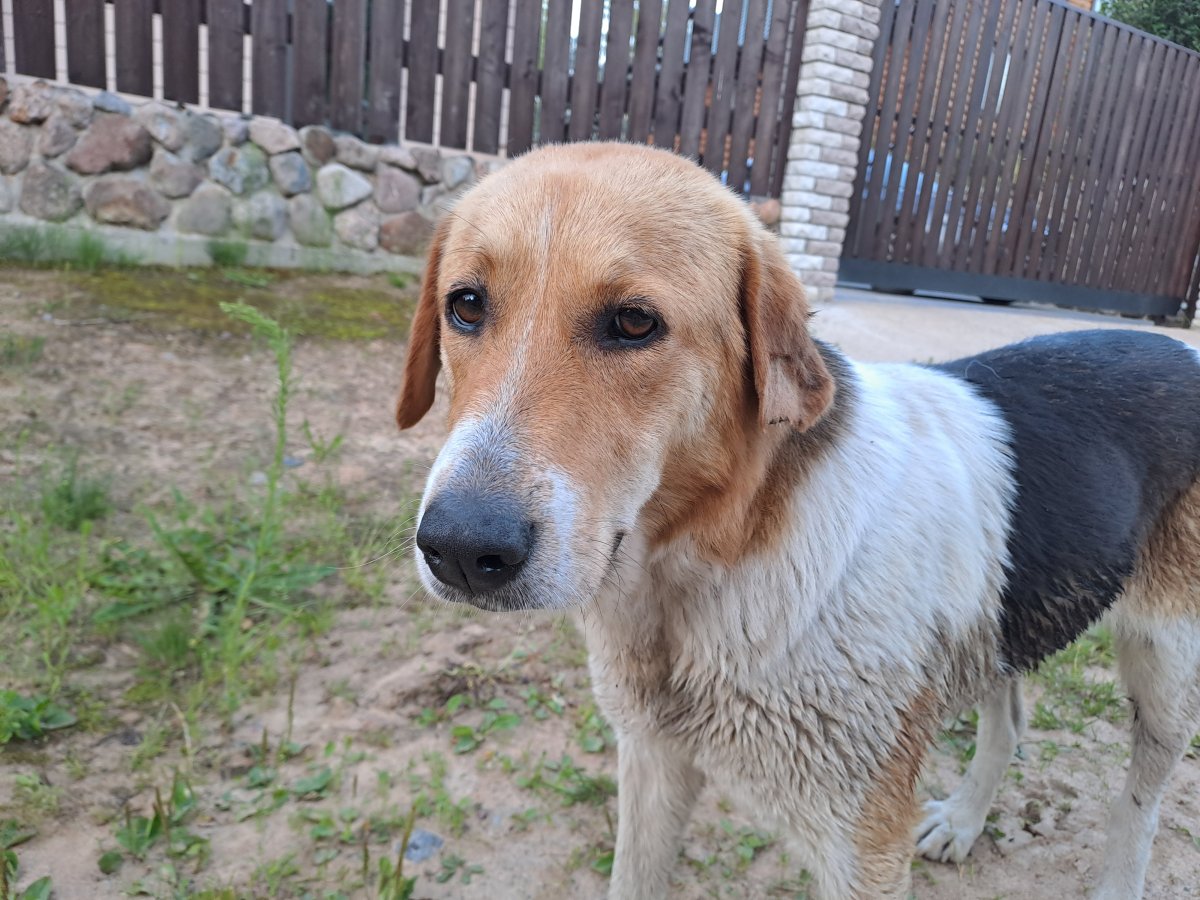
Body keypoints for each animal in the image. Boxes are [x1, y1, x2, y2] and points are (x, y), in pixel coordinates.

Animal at [394, 142, 1200, 899]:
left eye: (634, 322)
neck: (710, 569)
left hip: (1163, 667)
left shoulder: (864, 848)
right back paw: (967, 820)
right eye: (466, 305)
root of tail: (1181, 348)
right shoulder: (652, 763)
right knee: (1008, 719)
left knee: (1141, 800)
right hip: (996, 620)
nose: (460, 548)